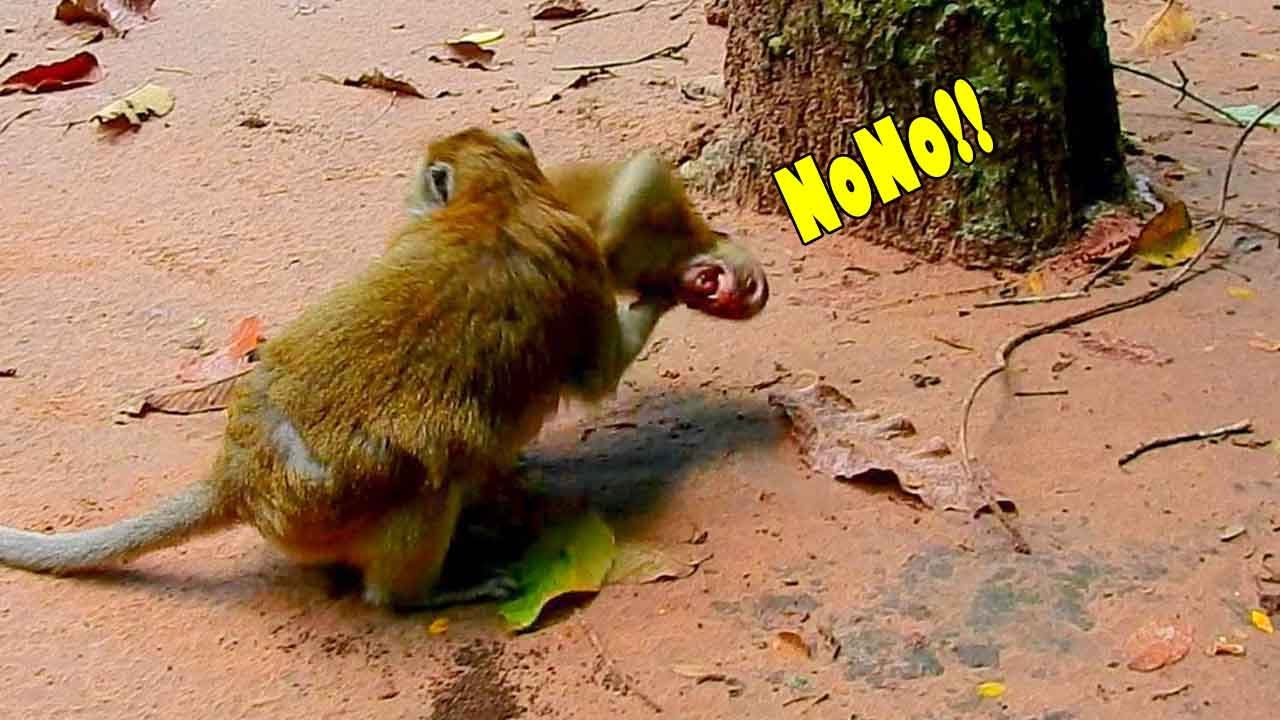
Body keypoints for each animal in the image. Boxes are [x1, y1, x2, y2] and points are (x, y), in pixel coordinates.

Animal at [0, 127, 686, 610]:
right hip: (334, 510)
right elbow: (598, 376)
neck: (496, 202)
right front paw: (668, 291)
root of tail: (239, 479)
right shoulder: (580, 263)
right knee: (432, 482)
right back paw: (421, 593)